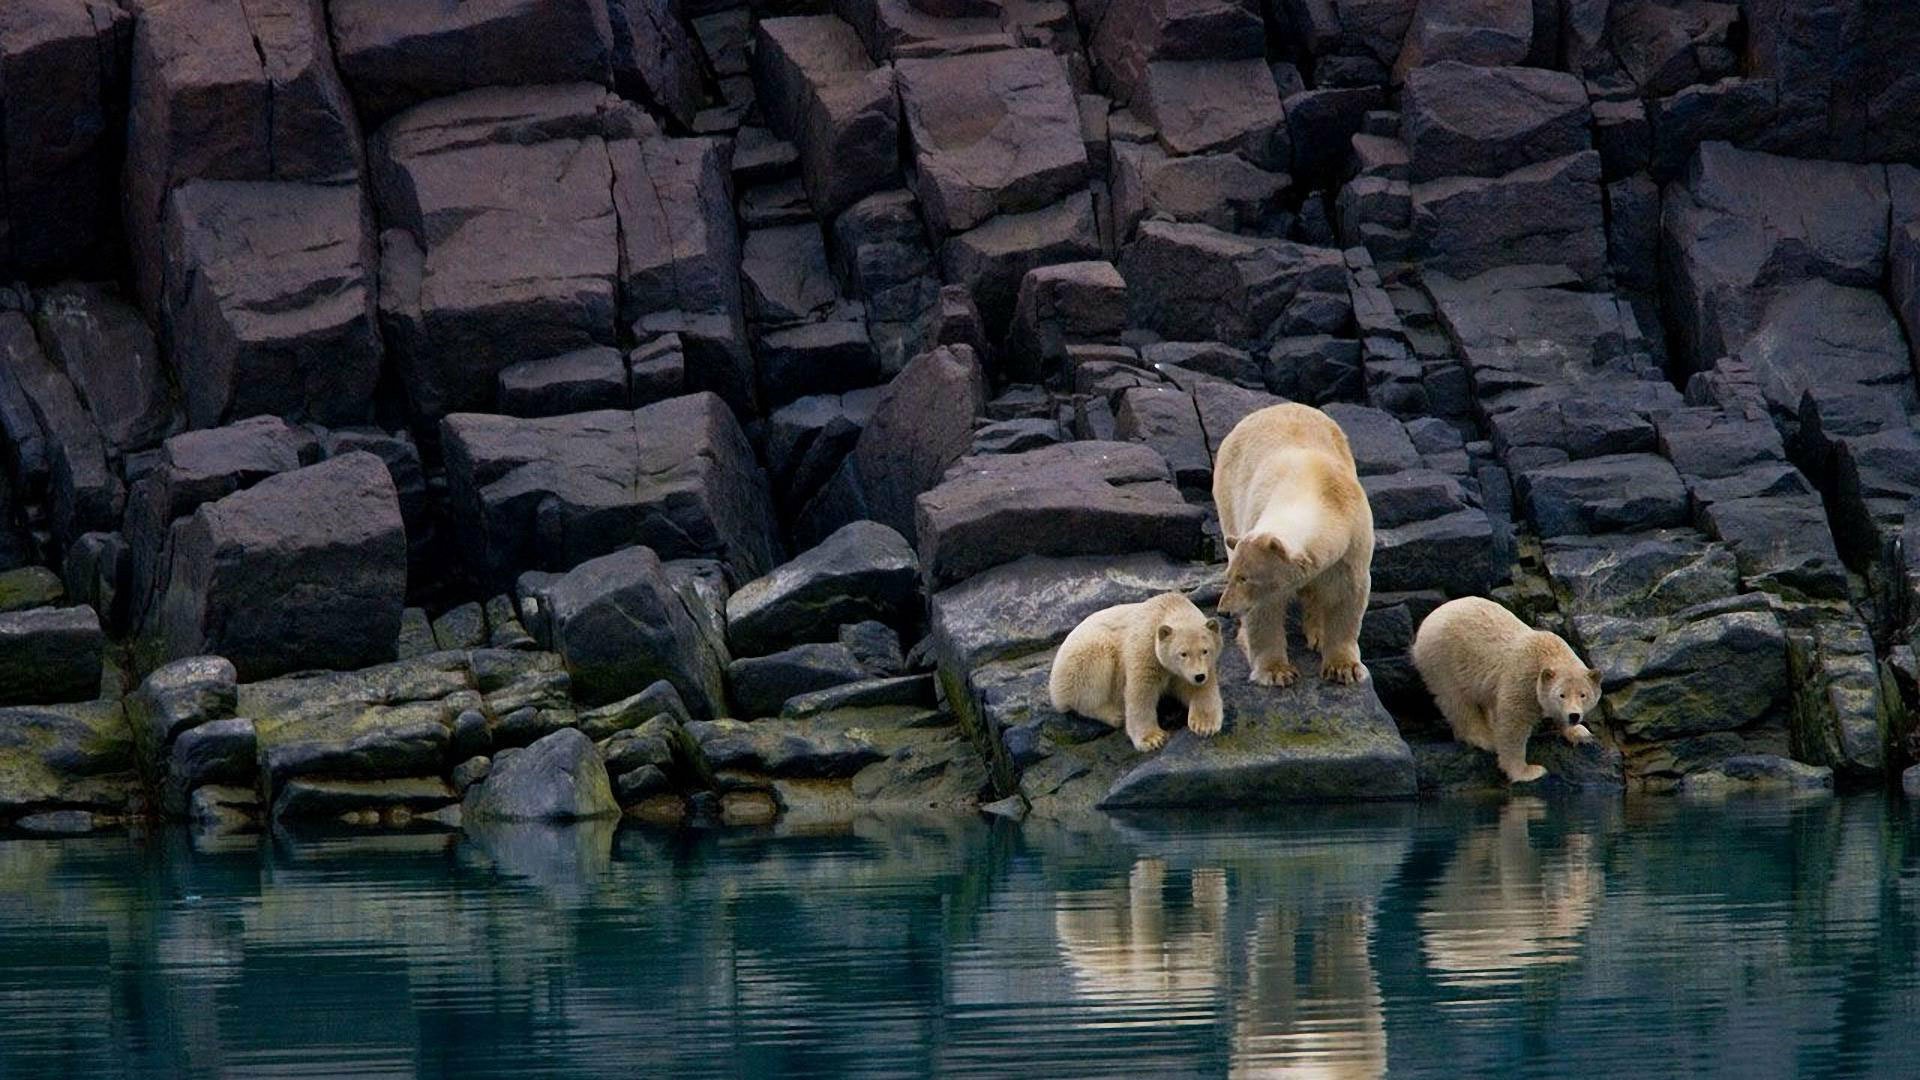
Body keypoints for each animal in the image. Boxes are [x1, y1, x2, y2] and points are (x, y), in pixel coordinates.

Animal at [1048, 591, 1224, 752]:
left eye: (1205, 651)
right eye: (1183, 653)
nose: (1199, 676)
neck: (1167, 607)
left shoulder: (1194, 669)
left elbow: (1200, 689)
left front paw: (1204, 725)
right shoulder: (1146, 649)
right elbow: (1141, 691)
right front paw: (1152, 738)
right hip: (1082, 655)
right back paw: (1114, 714)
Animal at [1211, 402, 1374, 687]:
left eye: (1244, 578)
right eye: (1231, 576)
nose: (1223, 611)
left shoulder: (1353, 542)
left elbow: (1347, 594)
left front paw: (1344, 667)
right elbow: (1265, 608)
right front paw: (1277, 671)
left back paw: (1319, 633)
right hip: (1228, 495)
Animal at [1411, 596, 1603, 783]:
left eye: (1583, 695)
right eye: (1561, 695)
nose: (1574, 716)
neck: (1547, 653)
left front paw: (1581, 733)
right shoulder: (1523, 680)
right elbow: (1513, 722)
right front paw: (1528, 771)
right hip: (1443, 660)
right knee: (1457, 702)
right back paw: (1486, 737)